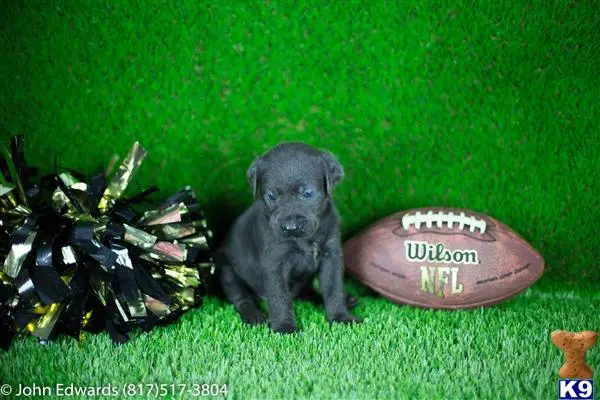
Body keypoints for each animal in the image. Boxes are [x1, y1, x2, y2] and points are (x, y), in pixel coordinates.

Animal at [219, 142, 364, 332]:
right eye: (271, 196)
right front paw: (284, 327)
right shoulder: (275, 263)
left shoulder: (331, 255)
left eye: (308, 193)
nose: (291, 227)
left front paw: (341, 317)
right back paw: (254, 315)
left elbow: (333, 288)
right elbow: (280, 296)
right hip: (228, 272)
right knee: (241, 298)